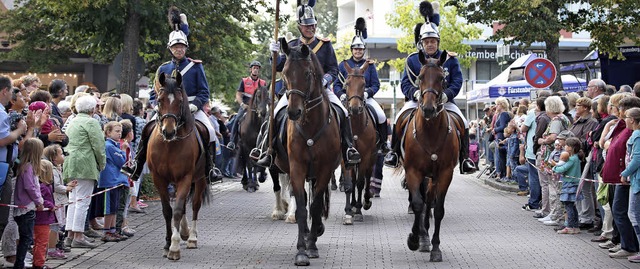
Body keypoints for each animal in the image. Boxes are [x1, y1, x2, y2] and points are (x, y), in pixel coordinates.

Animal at [146, 71, 209, 260]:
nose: (168, 131)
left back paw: (192, 237)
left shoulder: (185, 178)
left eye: (180, 102)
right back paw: (184, 232)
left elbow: (178, 209)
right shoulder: (159, 178)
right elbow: (168, 211)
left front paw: (174, 247)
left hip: (200, 179)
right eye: (159, 100)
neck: (169, 145)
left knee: (194, 205)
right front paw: (167, 244)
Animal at [276, 38, 344, 266]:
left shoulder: (324, 169)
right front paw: (301, 250)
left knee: (316, 200)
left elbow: (314, 207)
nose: (293, 112)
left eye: (307, 74)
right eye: (284, 73)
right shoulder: (297, 167)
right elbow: (302, 207)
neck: (311, 125)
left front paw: (312, 246)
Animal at [392, 50, 462, 262]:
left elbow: (438, 209)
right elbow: (417, 204)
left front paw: (436, 248)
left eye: (442, 78)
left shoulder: (445, 173)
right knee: (423, 202)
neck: (430, 132)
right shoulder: (414, 171)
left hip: (433, 176)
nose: (429, 108)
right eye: (420, 77)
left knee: (430, 201)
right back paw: (422, 236)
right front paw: (415, 239)